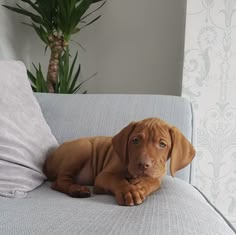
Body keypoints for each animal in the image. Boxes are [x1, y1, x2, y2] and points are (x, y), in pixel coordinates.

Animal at [43, 117, 195, 206]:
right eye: (135, 141)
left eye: (162, 144)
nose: (143, 164)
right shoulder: (103, 176)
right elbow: (117, 179)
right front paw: (129, 191)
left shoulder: (157, 176)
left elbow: (154, 182)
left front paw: (142, 186)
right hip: (83, 146)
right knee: (59, 182)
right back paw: (77, 189)